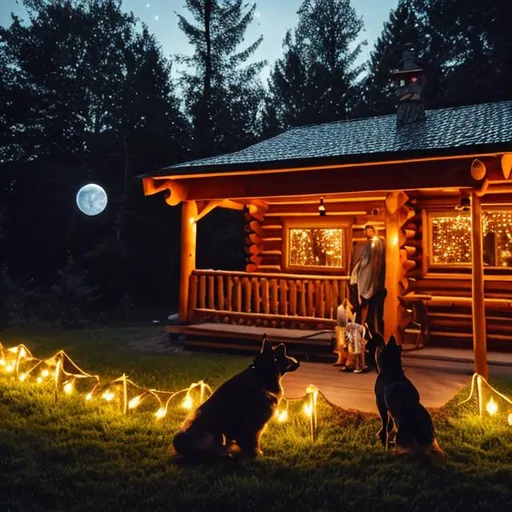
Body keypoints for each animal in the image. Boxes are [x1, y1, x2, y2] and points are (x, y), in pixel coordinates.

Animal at [172, 336, 300, 460]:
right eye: (285, 353)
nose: (298, 361)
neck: (262, 373)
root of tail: (179, 448)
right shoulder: (255, 426)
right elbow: (254, 443)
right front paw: (256, 455)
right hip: (211, 434)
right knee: (205, 454)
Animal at [372, 334, 444, 462]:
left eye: (390, 342)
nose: (391, 336)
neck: (393, 370)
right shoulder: (390, 411)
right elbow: (389, 424)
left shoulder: (381, 405)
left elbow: (385, 423)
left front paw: (383, 437)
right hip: (432, 442)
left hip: (402, 439)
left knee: (404, 453)